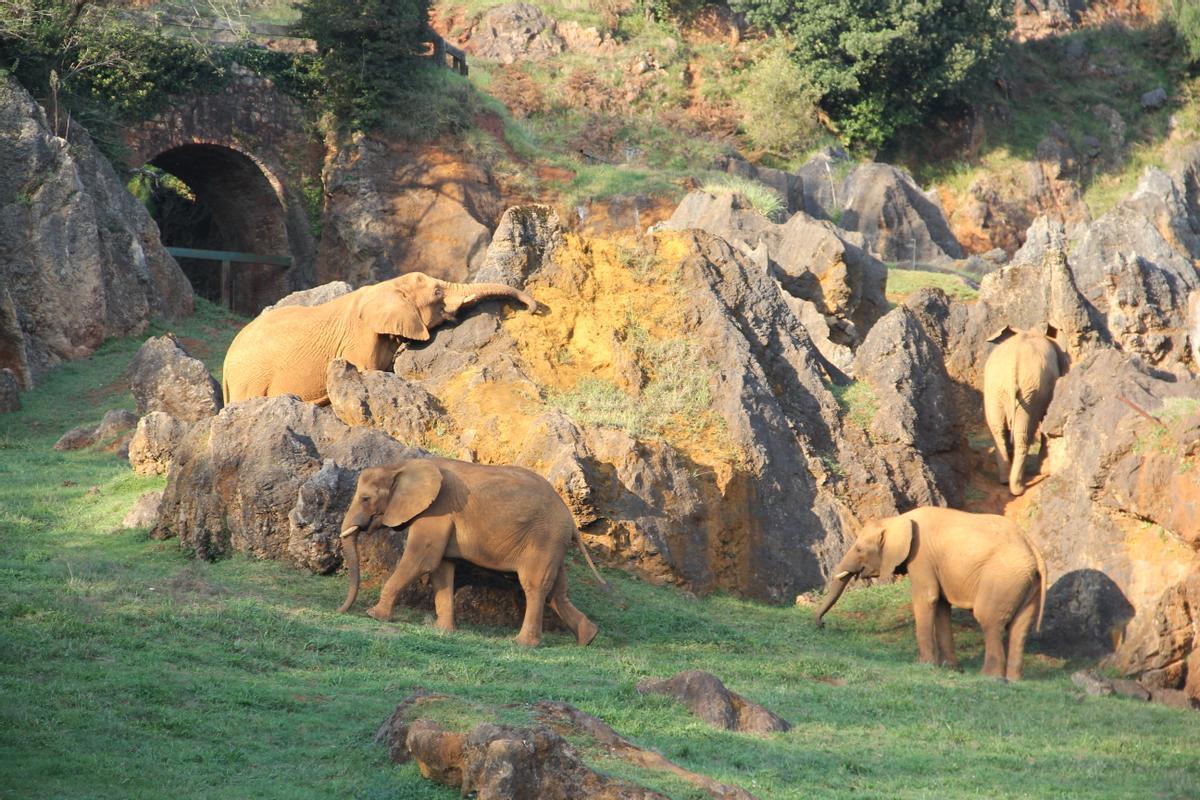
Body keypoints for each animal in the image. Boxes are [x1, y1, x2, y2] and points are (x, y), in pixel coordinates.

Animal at [222, 272, 540, 402]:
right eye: (438, 292)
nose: (534, 307)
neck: (387, 286)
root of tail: (226, 361)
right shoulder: (361, 338)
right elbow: (366, 371)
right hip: (250, 377)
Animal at [338, 460, 604, 647]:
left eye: (365, 498)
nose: (341, 611)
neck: (400, 466)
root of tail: (570, 517)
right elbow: (441, 568)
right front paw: (443, 631)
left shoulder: (437, 511)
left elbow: (421, 560)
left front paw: (374, 615)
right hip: (553, 543)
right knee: (556, 592)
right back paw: (588, 638)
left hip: (545, 538)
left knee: (535, 586)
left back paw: (522, 644)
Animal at [811, 506, 1046, 681]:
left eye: (859, 549)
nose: (821, 625)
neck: (898, 520)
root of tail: (1033, 549)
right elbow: (941, 605)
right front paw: (950, 669)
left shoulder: (921, 556)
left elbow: (927, 597)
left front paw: (924, 665)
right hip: (1025, 581)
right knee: (1020, 626)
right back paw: (1013, 680)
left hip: (1002, 578)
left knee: (989, 620)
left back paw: (990, 678)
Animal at [984, 323, 1070, 494]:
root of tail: (1012, 369)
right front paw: (1044, 471)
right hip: (1030, 392)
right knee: (1023, 433)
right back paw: (1018, 488)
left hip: (996, 390)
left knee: (998, 430)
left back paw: (1005, 481)